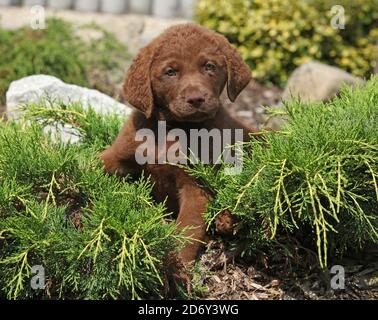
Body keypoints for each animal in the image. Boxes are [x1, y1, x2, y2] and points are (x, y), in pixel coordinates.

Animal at [100, 23, 255, 268]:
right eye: (171, 72)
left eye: (209, 66)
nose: (196, 99)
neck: (173, 129)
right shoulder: (119, 154)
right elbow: (95, 163)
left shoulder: (196, 187)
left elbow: (187, 230)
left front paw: (177, 265)